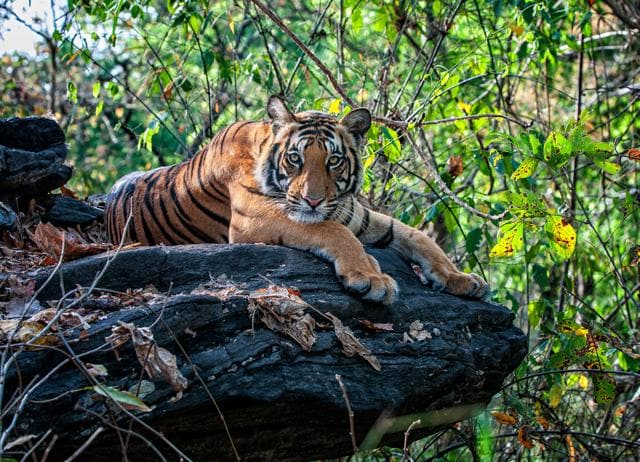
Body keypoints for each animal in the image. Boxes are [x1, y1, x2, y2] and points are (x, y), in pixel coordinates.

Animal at [105, 96, 488, 304]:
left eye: (333, 161)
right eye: (295, 159)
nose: (313, 201)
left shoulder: (360, 215)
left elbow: (418, 236)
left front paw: (459, 277)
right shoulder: (256, 218)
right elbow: (334, 232)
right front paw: (371, 277)